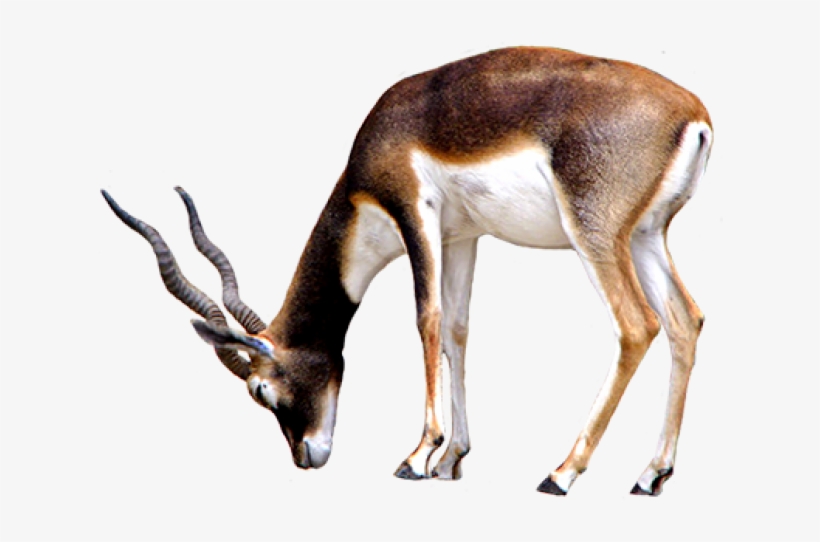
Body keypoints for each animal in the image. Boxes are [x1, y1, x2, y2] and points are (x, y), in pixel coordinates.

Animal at [102, 46, 712, 496]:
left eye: (260, 390)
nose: (306, 457)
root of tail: (694, 114)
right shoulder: (462, 237)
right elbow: (458, 332)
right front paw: (452, 458)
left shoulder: (413, 210)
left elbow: (427, 319)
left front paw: (418, 457)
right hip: (645, 236)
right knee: (686, 320)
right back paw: (651, 474)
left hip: (595, 234)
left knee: (636, 325)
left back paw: (561, 473)